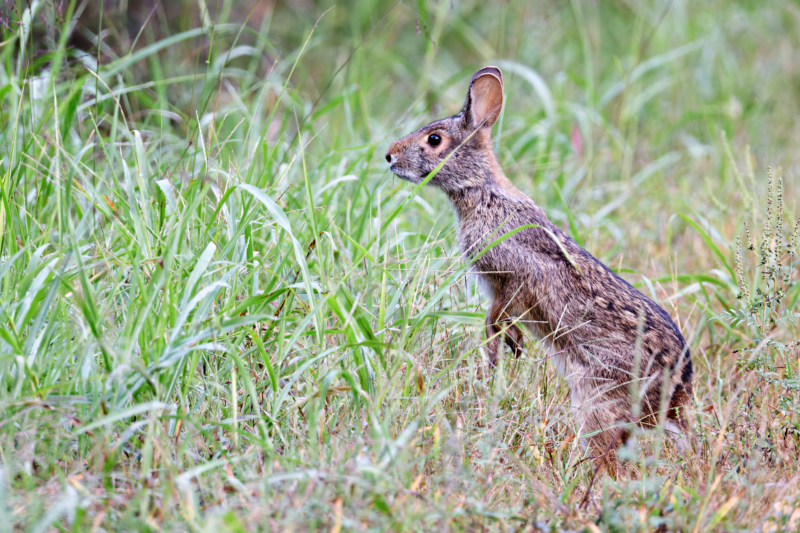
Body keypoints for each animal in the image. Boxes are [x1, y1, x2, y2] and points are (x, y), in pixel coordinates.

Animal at [384, 67, 692, 474]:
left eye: (434, 139)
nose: (389, 156)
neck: (480, 191)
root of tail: (677, 390)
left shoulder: (513, 279)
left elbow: (500, 310)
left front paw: (505, 346)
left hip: (597, 396)